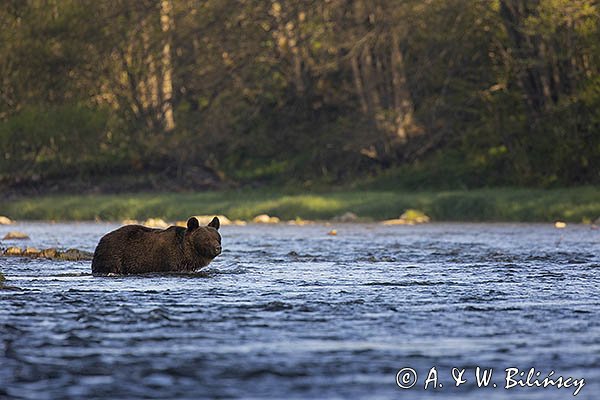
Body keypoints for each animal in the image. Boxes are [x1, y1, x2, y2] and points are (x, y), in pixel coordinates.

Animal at [89, 216, 220, 276]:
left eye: (218, 238)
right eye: (206, 239)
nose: (218, 248)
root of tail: (101, 240)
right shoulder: (170, 260)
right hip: (114, 255)